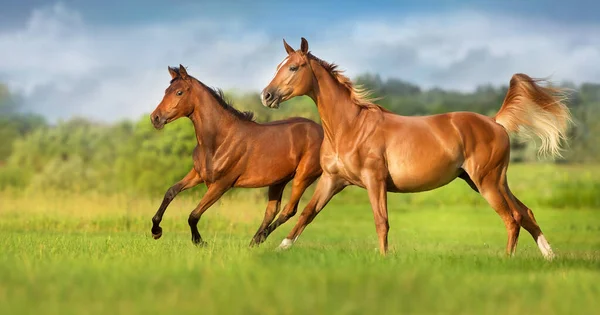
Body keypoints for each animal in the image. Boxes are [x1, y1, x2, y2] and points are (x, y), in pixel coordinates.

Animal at [149, 65, 324, 247]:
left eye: (179, 92)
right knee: (271, 211)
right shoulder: (198, 174)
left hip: (302, 178)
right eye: (166, 91)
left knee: (289, 210)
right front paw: (156, 230)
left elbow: (194, 215)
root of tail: (322, 132)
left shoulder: (221, 185)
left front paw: (199, 241)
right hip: (279, 181)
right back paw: (254, 242)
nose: (155, 118)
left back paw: (260, 239)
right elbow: (171, 192)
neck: (219, 140)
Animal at [260, 37, 568, 260]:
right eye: (277, 66)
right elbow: (306, 214)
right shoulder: (332, 180)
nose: (266, 95)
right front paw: (276, 248)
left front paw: (383, 258)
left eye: (293, 67)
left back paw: (507, 259)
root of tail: (495, 122)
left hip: (487, 182)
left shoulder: (374, 180)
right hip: (488, 181)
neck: (350, 127)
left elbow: (381, 220)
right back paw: (549, 256)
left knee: (512, 218)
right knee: (526, 213)